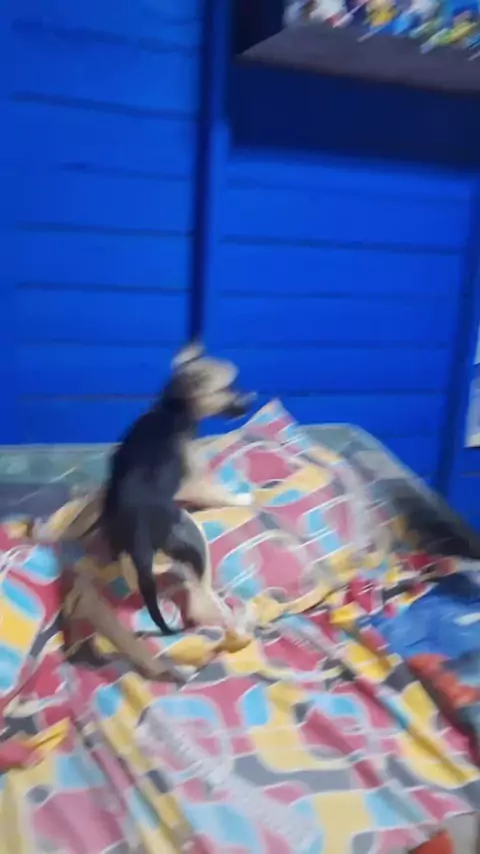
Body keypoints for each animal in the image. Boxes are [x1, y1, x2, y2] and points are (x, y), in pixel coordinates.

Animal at [101, 342, 256, 635]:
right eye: (228, 387)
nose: (251, 400)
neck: (171, 410)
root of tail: (141, 538)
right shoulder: (195, 481)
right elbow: (220, 493)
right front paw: (243, 497)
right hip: (196, 541)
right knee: (200, 602)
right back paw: (235, 621)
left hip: (134, 564)